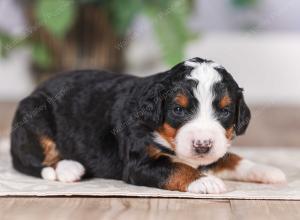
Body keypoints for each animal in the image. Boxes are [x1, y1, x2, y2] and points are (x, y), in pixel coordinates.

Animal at [9, 57, 286, 193]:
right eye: (178, 110)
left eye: (225, 111)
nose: (202, 145)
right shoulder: (139, 163)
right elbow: (176, 168)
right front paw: (204, 181)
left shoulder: (215, 151)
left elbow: (231, 158)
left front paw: (266, 170)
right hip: (34, 116)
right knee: (34, 161)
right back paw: (68, 168)